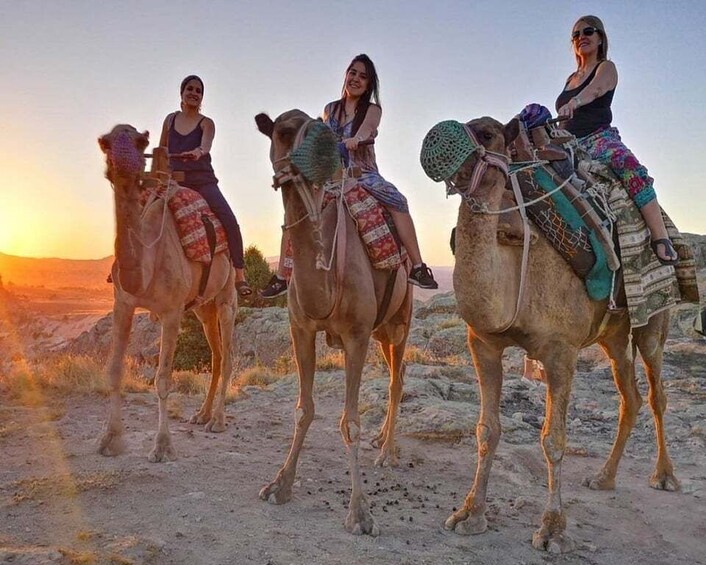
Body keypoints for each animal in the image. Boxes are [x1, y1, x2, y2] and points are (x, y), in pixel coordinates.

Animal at [96, 125, 236, 460]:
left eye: (141, 141)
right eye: (105, 142)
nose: (123, 164)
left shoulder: (171, 312)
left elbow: (162, 379)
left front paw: (162, 446)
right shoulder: (123, 303)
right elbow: (114, 370)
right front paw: (110, 439)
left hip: (227, 295)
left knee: (227, 356)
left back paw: (218, 420)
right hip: (202, 308)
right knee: (216, 353)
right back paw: (202, 414)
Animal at [254, 109, 412, 532]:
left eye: (320, 125)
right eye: (282, 131)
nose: (327, 148)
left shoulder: (356, 334)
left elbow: (349, 422)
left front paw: (360, 513)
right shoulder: (301, 328)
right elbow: (303, 409)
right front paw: (279, 485)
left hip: (400, 321)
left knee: (396, 380)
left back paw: (387, 453)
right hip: (380, 332)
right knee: (393, 375)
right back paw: (381, 441)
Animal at [418, 117, 676, 552]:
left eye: (487, 133)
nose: (435, 140)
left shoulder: (561, 351)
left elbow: (553, 440)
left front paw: (553, 530)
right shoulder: (482, 342)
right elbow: (486, 430)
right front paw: (469, 514)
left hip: (653, 322)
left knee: (656, 394)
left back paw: (664, 476)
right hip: (612, 336)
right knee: (631, 396)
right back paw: (604, 477)